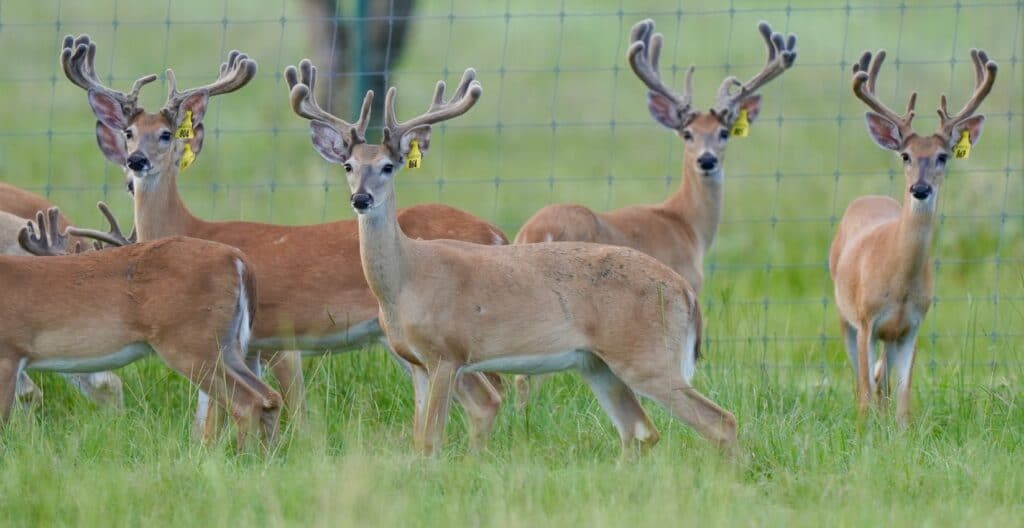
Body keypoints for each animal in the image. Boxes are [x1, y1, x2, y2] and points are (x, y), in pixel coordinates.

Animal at [1, 211, 281, 450]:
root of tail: (238, 260)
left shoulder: (8, 354)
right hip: (226, 346)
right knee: (269, 397)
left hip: (190, 344)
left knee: (247, 401)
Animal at [61, 35, 509, 446]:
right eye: (129, 131)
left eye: (168, 134)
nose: (136, 162)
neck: (192, 228)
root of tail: (494, 231)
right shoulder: (250, 347)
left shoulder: (274, 337)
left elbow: (235, 415)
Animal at [288, 61, 738, 458]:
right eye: (348, 165)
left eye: (387, 166)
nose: (361, 198)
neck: (408, 278)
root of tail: (684, 291)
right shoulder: (414, 361)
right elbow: (418, 439)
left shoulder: (447, 354)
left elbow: (431, 440)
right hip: (597, 363)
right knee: (640, 431)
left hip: (647, 356)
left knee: (719, 421)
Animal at [830, 48, 996, 425]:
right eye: (905, 155)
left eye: (942, 156)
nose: (920, 189)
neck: (899, 281)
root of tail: (867, 198)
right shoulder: (866, 320)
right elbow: (864, 393)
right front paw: (864, 432)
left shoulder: (912, 326)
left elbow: (903, 400)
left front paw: (900, 432)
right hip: (844, 315)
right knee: (862, 383)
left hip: (889, 338)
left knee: (883, 381)